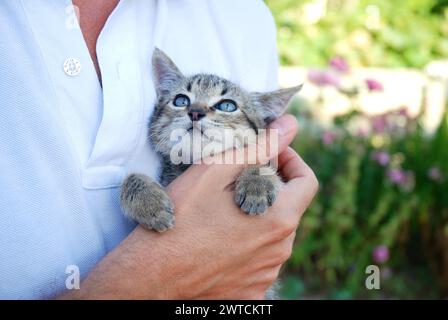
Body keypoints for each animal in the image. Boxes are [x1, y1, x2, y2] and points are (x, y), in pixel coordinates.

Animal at [120, 47, 300, 231]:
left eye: (227, 106)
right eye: (181, 100)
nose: (195, 112)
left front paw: (257, 180)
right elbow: (130, 177)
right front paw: (149, 203)